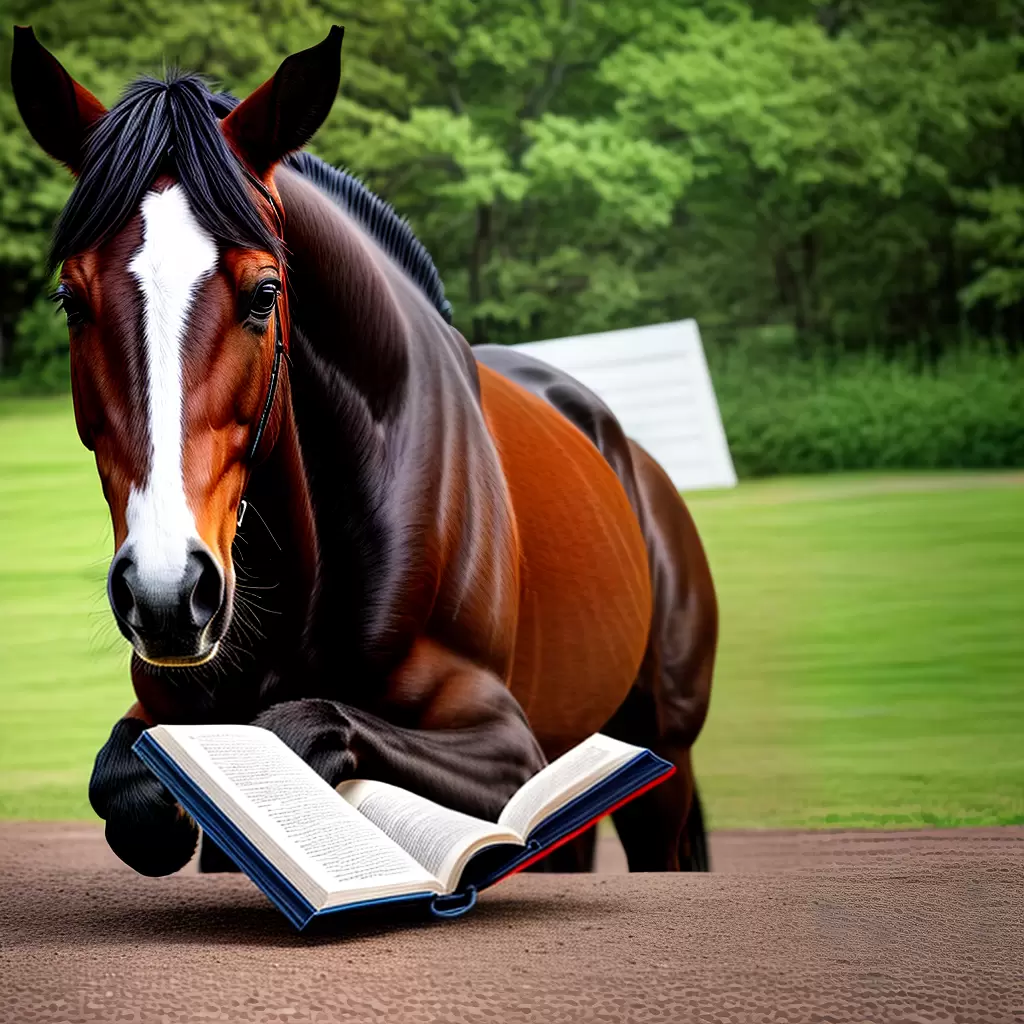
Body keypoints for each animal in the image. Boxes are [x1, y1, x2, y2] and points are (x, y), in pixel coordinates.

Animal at [11, 25, 718, 878]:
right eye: (70, 300)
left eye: (265, 293)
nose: (165, 593)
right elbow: (130, 785)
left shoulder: (512, 748)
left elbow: (296, 731)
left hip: (657, 752)